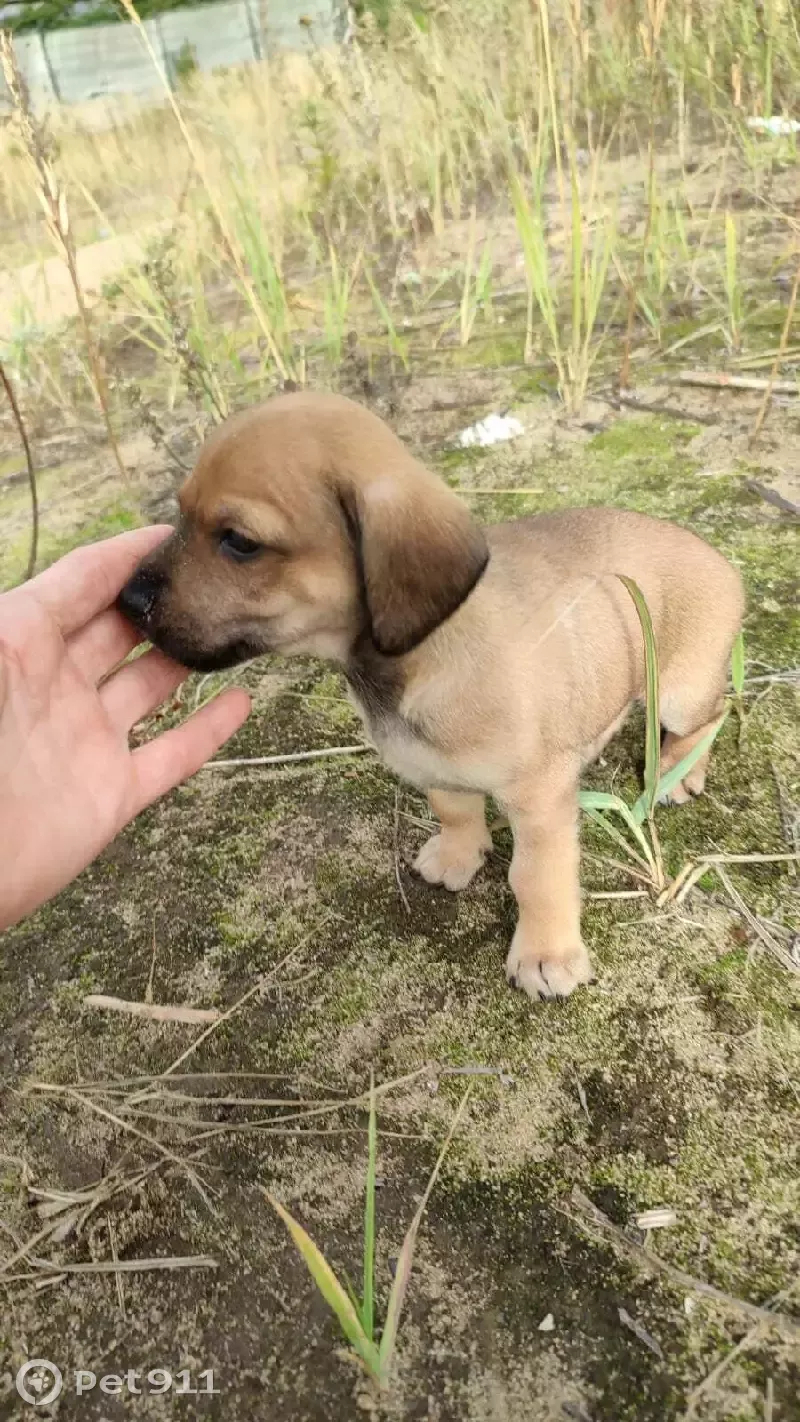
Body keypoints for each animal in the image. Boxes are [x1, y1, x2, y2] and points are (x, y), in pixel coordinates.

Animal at [117, 389, 744, 1001]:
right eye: (179, 512)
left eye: (240, 542)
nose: (127, 601)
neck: (410, 665)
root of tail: (718, 559)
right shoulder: (437, 770)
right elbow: (455, 811)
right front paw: (458, 856)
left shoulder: (540, 802)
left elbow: (535, 879)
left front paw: (546, 954)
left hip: (682, 690)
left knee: (710, 716)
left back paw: (677, 772)